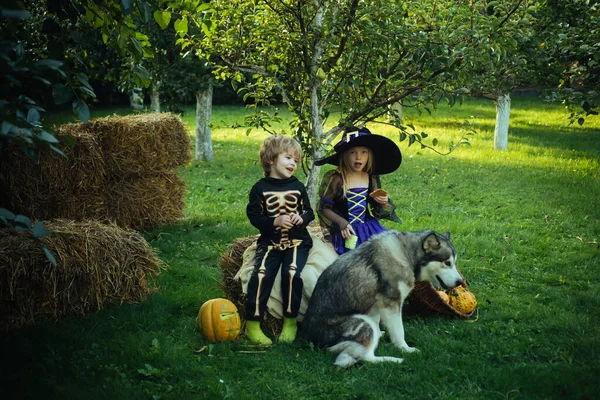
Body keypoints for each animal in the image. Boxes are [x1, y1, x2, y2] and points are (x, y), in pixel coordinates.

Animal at [300, 230, 464, 368]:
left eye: (454, 262)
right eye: (447, 263)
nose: (460, 282)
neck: (406, 255)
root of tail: (310, 338)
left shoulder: (376, 305)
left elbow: (378, 321)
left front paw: (380, 334)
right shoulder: (392, 303)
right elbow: (399, 331)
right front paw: (405, 349)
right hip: (362, 322)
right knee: (363, 358)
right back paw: (395, 360)